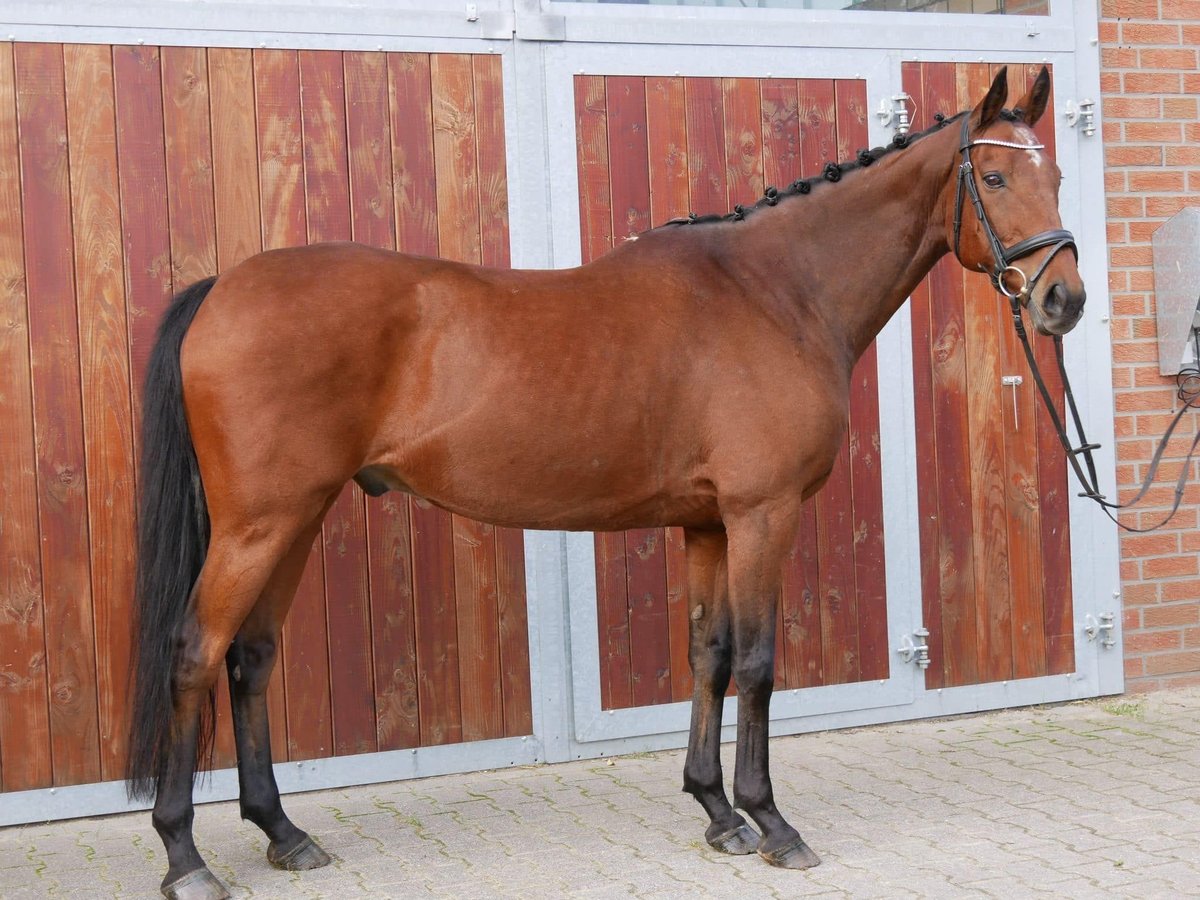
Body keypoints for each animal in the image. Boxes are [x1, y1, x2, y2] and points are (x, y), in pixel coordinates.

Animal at [126, 65, 1084, 900]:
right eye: (994, 175)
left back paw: (284, 834)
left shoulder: (708, 524)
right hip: (257, 523)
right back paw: (184, 857)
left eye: (1058, 173)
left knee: (250, 659)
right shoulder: (761, 515)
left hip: (296, 517)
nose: (1063, 302)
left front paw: (717, 812)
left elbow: (709, 655)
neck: (774, 292)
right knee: (195, 652)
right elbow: (759, 663)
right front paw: (773, 823)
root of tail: (224, 287)